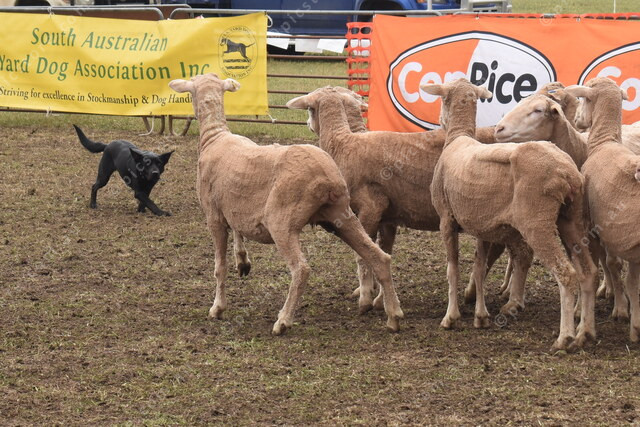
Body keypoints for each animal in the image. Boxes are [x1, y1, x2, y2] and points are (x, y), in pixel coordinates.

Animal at [168, 73, 404, 334]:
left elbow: (220, 267)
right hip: (341, 215)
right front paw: (243, 261)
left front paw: (217, 308)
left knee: (301, 269)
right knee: (379, 257)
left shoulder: (214, 216)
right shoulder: (234, 207)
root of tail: (326, 176)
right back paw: (393, 316)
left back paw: (283, 320)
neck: (215, 136)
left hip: (282, 221)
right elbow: (238, 231)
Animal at [422, 78, 597, 351]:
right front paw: (481, 316)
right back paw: (585, 333)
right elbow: (479, 267)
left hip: (538, 224)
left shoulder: (446, 220)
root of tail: (566, 171)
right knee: (588, 272)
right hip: (572, 219)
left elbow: (453, 269)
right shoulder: (482, 226)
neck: (458, 138)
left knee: (566, 274)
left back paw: (564, 337)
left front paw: (451, 317)